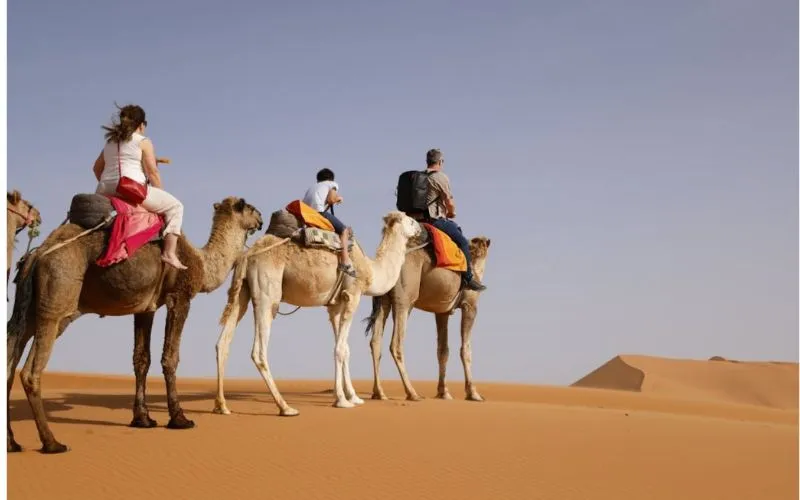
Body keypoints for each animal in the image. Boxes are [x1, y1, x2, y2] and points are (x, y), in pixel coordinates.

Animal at [7, 195, 263, 454]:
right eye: (250, 207)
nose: (261, 219)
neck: (201, 261)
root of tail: (36, 255)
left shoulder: (145, 308)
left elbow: (141, 359)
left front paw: (143, 418)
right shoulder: (179, 297)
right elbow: (170, 357)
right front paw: (179, 418)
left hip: (27, 308)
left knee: (11, 356)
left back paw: (12, 443)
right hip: (57, 299)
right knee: (31, 370)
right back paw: (52, 442)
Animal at [213, 210, 422, 416]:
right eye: (410, 220)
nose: (420, 229)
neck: (371, 270)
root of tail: (247, 255)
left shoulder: (335, 306)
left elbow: (344, 349)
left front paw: (353, 397)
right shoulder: (352, 295)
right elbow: (339, 349)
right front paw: (342, 400)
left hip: (242, 291)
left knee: (223, 343)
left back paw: (222, 405)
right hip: (267, 293)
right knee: (259, 351)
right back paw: (285, 407)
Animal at [363, 234, 491, 402]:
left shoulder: (442, 311)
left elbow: (443, 350)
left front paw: (444, 392)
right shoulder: (470, 306)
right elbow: (466, 350)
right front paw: (473, 393)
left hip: (383, 297)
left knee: (375, 341)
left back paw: (379, 392)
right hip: (405, 299)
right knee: (396, 343)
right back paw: (412, 393)